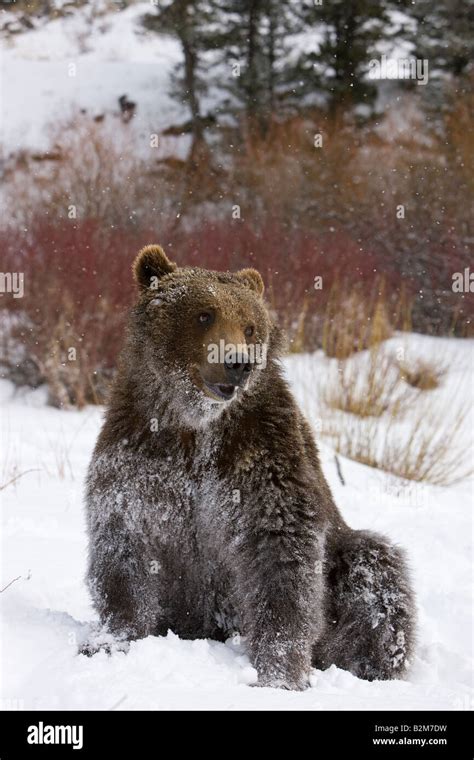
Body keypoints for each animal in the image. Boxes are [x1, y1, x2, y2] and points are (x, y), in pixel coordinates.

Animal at [85, 243, 414, 688]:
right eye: (204, 314)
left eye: (250, 326)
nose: (238, 362)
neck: (196, 427)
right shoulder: (140, 457)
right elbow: (124, 545)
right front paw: (110, 639)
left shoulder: (261, 460)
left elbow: (280, 557)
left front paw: (278, 673)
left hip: (344, 554)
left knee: (375, 574)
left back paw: (371, 663)